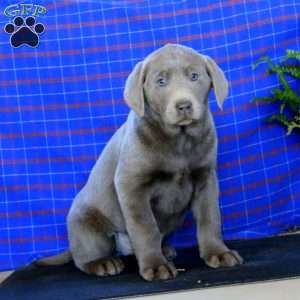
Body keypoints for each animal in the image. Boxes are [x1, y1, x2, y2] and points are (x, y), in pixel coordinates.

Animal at [38, 43, 243, 280]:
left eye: (194, 76)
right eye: (161, 81)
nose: (183, 105)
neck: (179, 140)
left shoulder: (206, 178)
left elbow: (210, 217)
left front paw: (218, 253)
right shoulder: (131, 185)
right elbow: (146, 227)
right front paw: (155, 266)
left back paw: (166, 250)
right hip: (87, 226)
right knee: (84, 257)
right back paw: (103, 263)